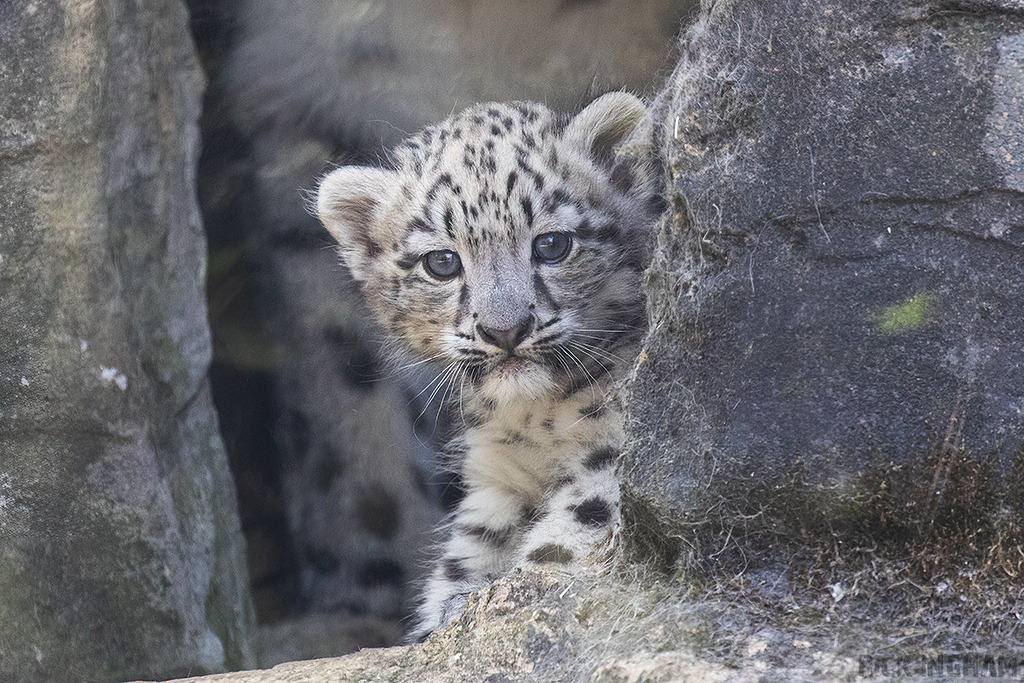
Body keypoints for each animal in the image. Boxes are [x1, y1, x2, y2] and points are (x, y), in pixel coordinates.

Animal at [316, 91, 662, 641]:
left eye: (551, 244)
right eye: (441, 262)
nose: (504, 330)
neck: (537, 420)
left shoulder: (611, 450)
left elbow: (567, 537)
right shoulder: (495, 480)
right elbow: (469, 555)